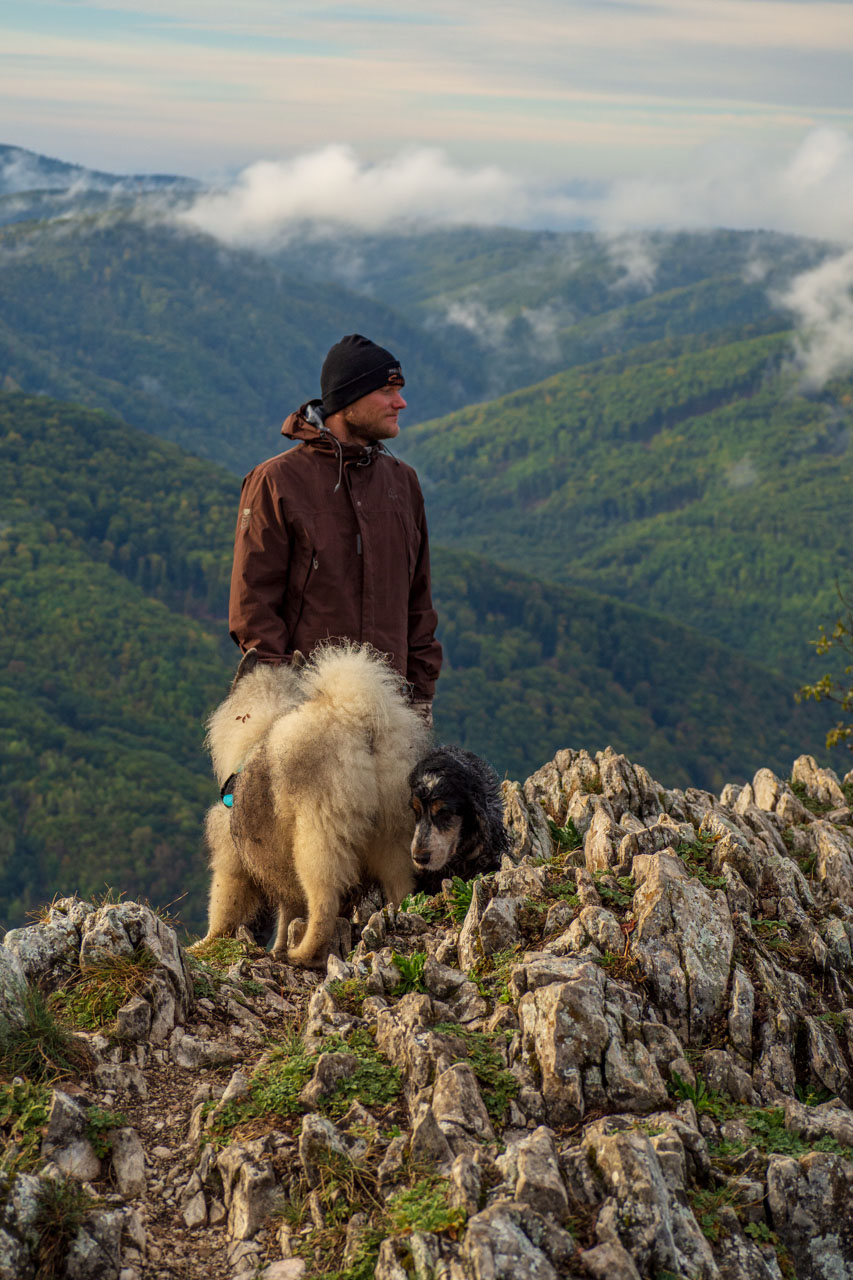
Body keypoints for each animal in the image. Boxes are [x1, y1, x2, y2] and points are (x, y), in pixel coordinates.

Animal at [197, 645, 425, 962]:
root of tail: (358, 726)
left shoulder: (232, 860)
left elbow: (223, 908)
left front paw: (204, 945)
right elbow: (288, 914)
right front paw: (279, 947)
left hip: (316, 839)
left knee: (324, 903)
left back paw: (303, 951)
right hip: (393, 839)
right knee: (402, 888)